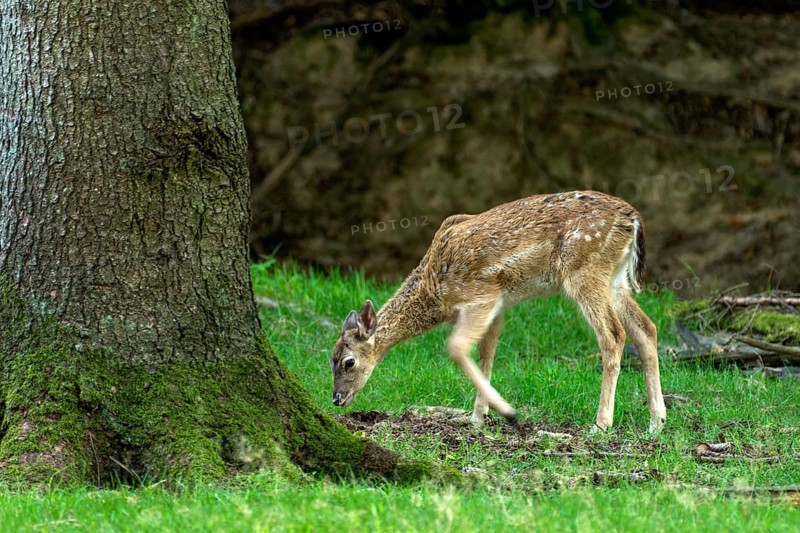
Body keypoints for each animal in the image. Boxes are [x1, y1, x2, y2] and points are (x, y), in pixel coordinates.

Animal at [329, 191, 667, 433]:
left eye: (349, 362)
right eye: (330, 359)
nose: (337, 399)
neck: (433, 290)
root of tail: (633, 218)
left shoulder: (481, 297)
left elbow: (456, 347)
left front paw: (507, 412)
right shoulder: (498, 305)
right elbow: (487, 352)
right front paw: (477, 417)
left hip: (586, 269)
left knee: (613, 334)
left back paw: (601, 424)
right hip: (616, 279)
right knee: (646, 329)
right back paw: (656, 423)